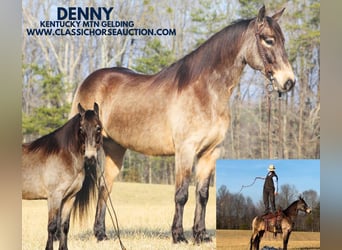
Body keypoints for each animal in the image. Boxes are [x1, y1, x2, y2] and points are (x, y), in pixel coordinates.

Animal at [22, 102, 103, 249]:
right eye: (81, 129)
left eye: (98, 128)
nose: (90, 158)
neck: (65, 156)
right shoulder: (54, 197)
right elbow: (52, 227)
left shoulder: (70, 197)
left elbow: (64, 226)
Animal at [71, 5, 296, 244]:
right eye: (268, 40)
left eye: (283, 40)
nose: (289, 82)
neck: (205, 92)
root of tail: (89, 80)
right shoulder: (185, 150)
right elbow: (182, 194)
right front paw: (178, 235)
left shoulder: (210, 152)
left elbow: (203, 195)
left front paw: (201, 235)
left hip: (115, 149)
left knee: (104, 188)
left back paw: (101, 233)